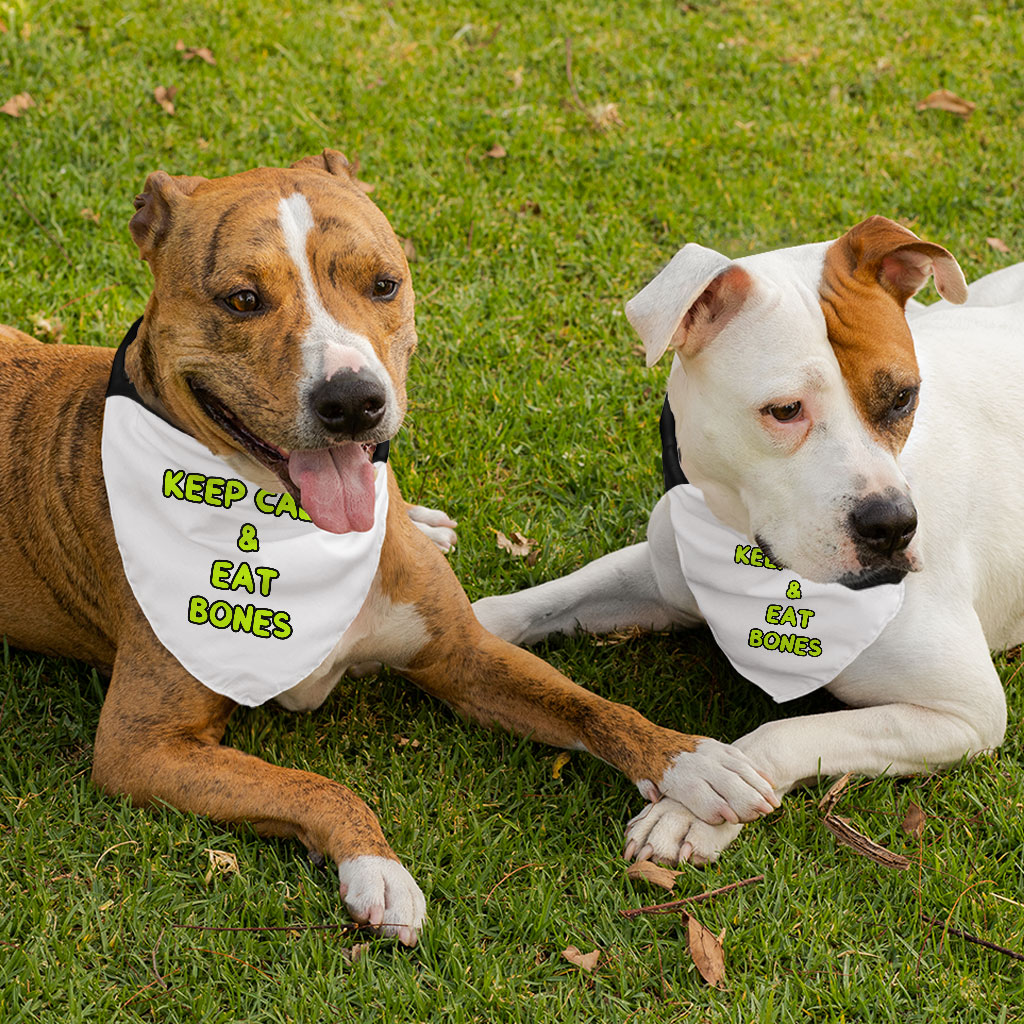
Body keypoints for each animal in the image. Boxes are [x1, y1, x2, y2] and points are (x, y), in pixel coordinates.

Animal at [0, 151, 770, 942]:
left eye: (383, 284)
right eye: (242, 299)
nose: (352, 401)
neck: (299, 534)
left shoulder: (461, 654)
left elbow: (589, 703)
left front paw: (690, 760)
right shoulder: (142, 745)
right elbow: (316, 786)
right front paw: (378, 867)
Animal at [475, 216, 1019, 864]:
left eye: (903, 398)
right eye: (784, 410)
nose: (892, 525)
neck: (753, 557)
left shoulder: (965, 712)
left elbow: (786, 732)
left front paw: (690, 807)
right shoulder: (664, 575)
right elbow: (542, 600)